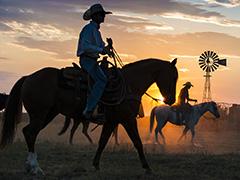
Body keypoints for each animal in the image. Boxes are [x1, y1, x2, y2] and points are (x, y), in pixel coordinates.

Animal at [0, 58, 178, 175]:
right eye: (173, 76)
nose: (170, 100)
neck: (129, 84)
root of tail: (28, 77)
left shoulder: (112, 121)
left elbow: (103, 141)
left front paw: (95, 165)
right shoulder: (127, 119)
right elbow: (138, 142)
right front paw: (147, 167)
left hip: (48, 114)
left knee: (29, 132)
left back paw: (29, 166)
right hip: (40, 114)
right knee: (31, 133)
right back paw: (35, 167)